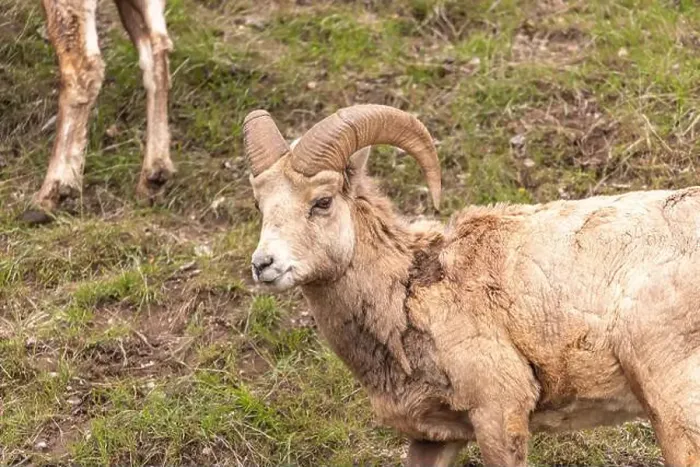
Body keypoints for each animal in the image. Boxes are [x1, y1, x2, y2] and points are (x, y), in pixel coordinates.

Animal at [242, 104, 700, 467]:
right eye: (261, 205)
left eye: (322, 201)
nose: (263, 265)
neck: (409, 287)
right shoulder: (434, 438)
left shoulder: (498, 414)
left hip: (674, 410)